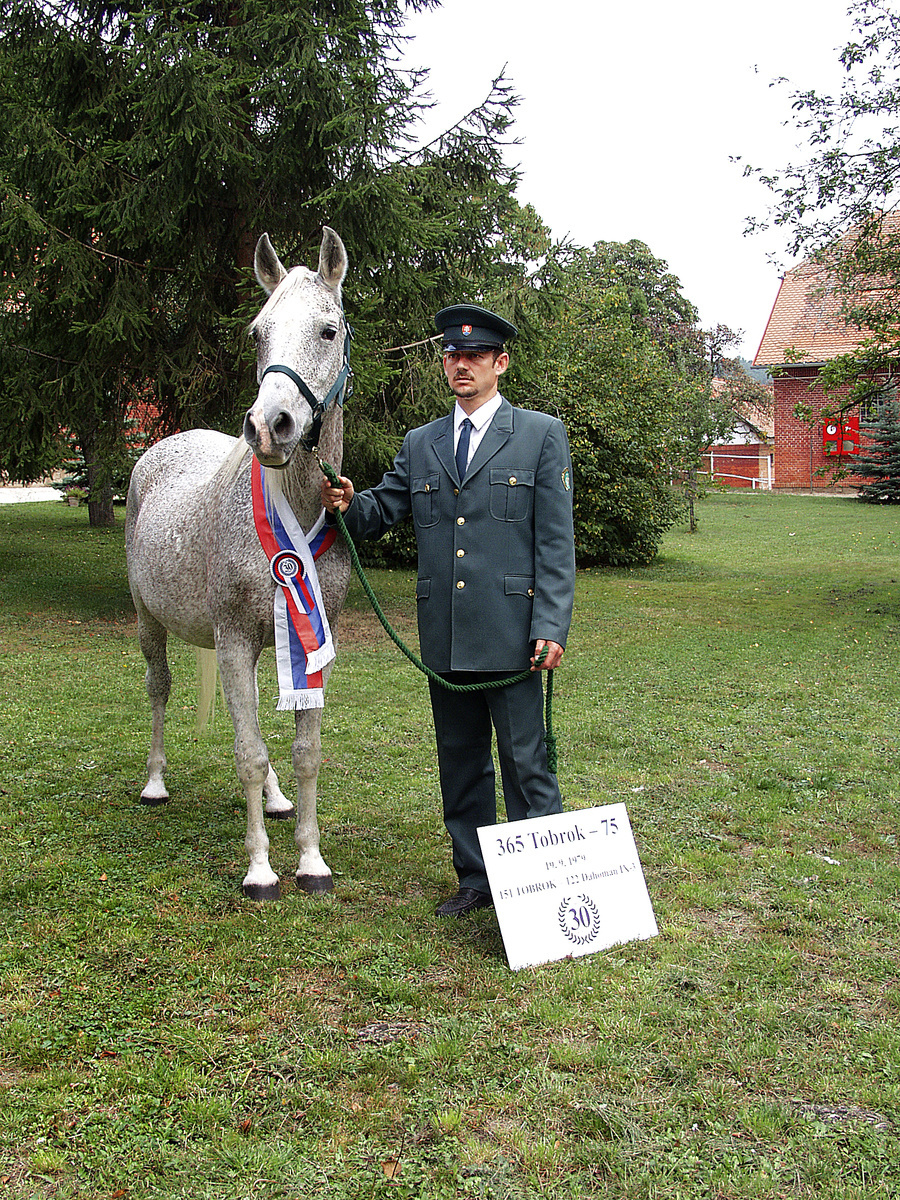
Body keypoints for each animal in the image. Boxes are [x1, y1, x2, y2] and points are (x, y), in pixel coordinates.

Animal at [125, 226, 350, 902]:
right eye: (257, 332)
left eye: (327, 329)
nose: (269, 425)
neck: (298, 505)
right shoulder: (229, 640)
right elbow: (247, 752)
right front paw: (260, 871)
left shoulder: (310, 644)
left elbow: (304, 754)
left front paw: (310, 861)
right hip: (151, 622)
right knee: (159, 688)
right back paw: (155, 783)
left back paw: (275, 800)